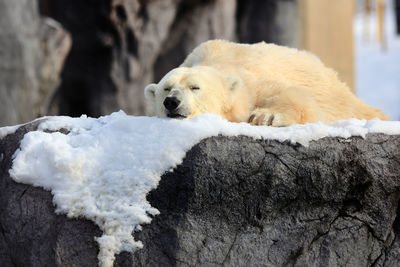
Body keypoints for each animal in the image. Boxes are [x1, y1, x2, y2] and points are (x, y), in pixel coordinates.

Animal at [145, 40, 388, 126]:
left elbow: (293, 95)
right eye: (166, 88)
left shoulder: (253, 82)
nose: (171, 102)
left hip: (335, 94)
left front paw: (265, 116)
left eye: (195, 87)